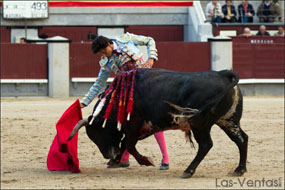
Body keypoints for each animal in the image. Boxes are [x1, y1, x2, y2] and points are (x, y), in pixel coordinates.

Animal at [68, 68, 246, 178]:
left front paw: (145, 161)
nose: (107, 155)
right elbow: (126, 143)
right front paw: (117, 160)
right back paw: (239, 169)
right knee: (242, 139)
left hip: (199, 124)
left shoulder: (134, 124)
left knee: (206, 145)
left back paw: (188, 171)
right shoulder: (144, 126)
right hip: (229, 121)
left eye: (98, 133)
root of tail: (223, 74)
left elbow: (129, 144)